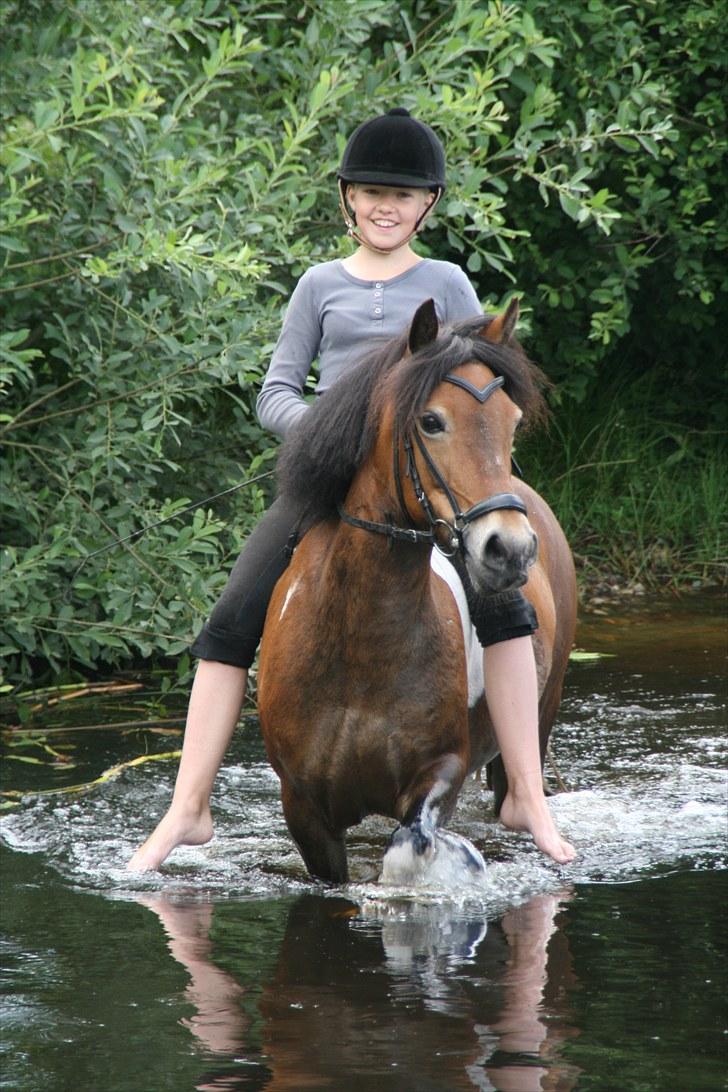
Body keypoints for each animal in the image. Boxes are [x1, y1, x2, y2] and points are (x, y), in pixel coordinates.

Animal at [256, 297, 576, 877]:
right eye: (431, 422)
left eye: (513, 421)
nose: (512, 549)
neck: (362, 644)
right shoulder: (304, 808)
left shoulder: (441, 771)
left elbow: (412, 841)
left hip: (542, 712)